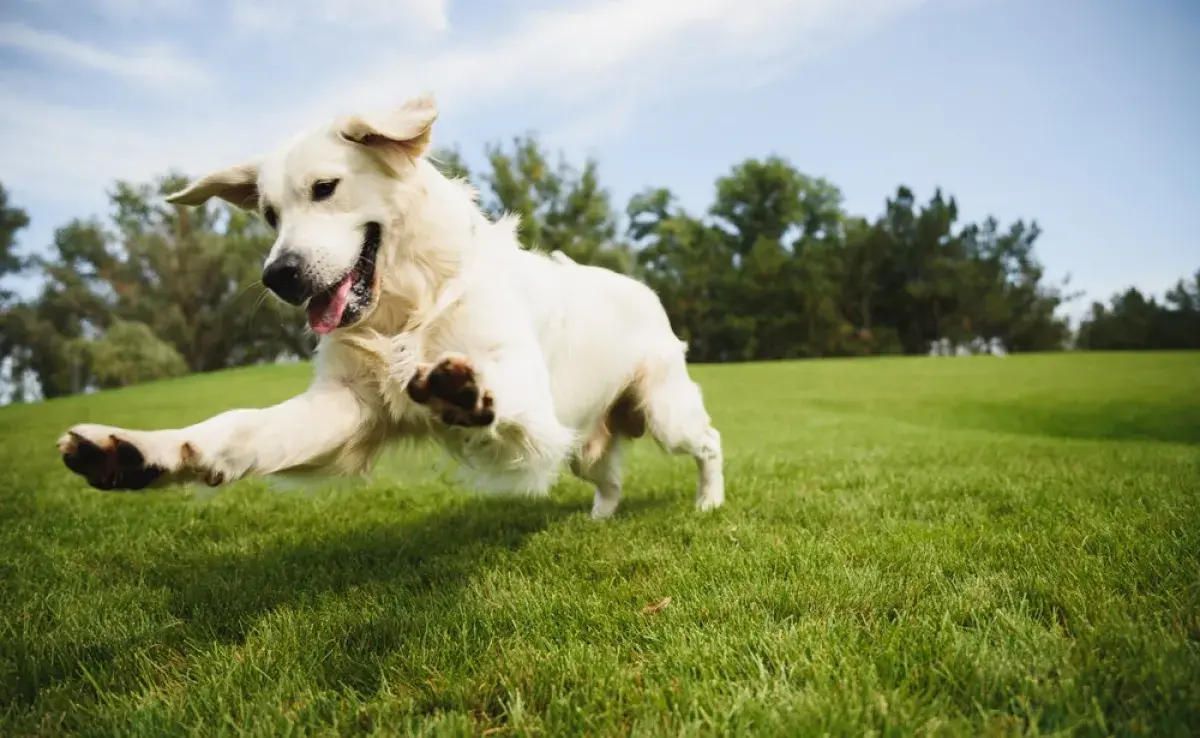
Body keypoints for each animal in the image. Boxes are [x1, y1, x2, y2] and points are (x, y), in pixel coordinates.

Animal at [54, 93, 720, 520]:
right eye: (269, 215)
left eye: (325, 188)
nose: (279, 276)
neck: (408, 307)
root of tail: (643, 288)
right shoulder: (346, 405)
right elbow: (238, 429)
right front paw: (139, 452)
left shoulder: (529, 400)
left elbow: (497, 392)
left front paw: (463, 392)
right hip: (585, 440)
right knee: (609, 477)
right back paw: (599, 518)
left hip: (665, 412)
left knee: (709, 440)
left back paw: (709, 503)